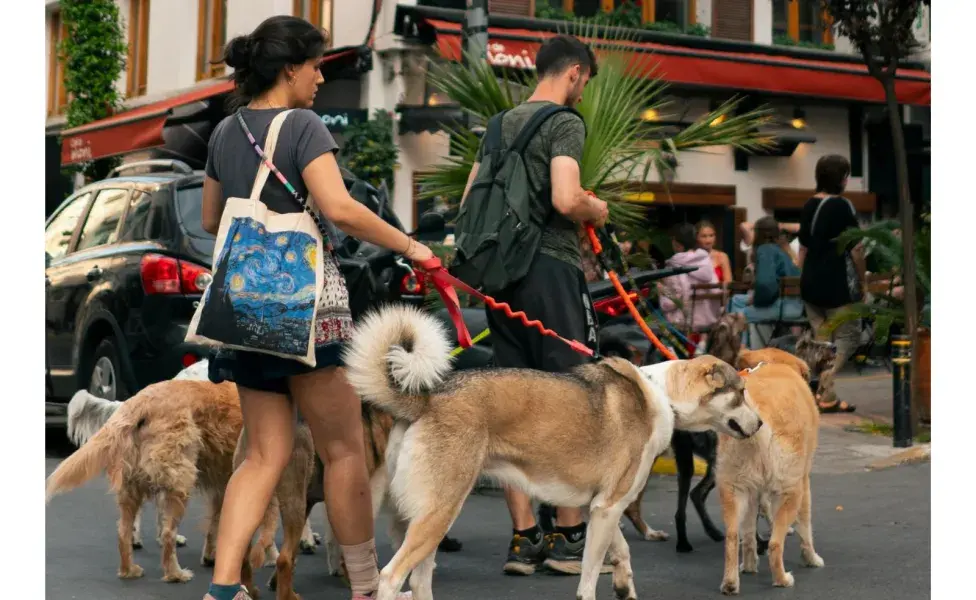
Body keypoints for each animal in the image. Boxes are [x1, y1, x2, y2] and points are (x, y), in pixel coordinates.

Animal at [46, 382, 248, 584]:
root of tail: (139, 401)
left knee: (124, 531)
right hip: (180, 482)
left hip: (132, 486)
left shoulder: (223, 487)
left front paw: (212, 557)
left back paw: (129, 570)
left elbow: (218, 524)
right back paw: (175, 574)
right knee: (167, 534)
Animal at [716, 350, 824, 592]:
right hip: (790, 493)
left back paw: (730, 583)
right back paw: (782, 580)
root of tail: (758, 418)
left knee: (732, 537)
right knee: (775, 544)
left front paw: (748, 567)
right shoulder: (804, 484)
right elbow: (806, 529)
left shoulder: (752, 492)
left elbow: (748, 535)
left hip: (733, 491)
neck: (772, 364)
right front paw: (811, 559)